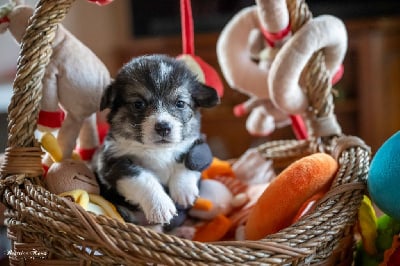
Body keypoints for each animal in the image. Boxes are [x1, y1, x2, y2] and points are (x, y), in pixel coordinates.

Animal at [92, 54, 220, 227]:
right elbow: (142, 178)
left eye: (180, 103)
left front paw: (184, 192)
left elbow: (188, 161)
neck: (157, 150)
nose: (163, 127)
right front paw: (160, 206)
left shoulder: (195, 144)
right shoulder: (113, 163)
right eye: (138, 104)